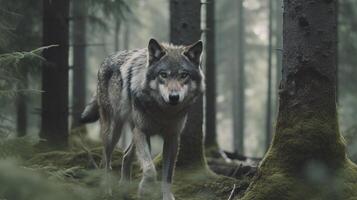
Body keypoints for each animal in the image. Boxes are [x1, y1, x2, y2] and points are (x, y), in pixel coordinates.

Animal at [80, 38, 203, 199]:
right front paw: (144, 189)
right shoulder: (143, 132)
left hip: (133, 131)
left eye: (184, 75)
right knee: (105, 162)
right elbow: (150, 169)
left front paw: (166, 196)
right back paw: (107, 190)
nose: (174, 97)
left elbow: (168, 175)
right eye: (163, 74)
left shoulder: (172, 137)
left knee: (126, 155)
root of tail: (106, 59)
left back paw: (124, 189)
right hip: (114, 132)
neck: (163, 112)